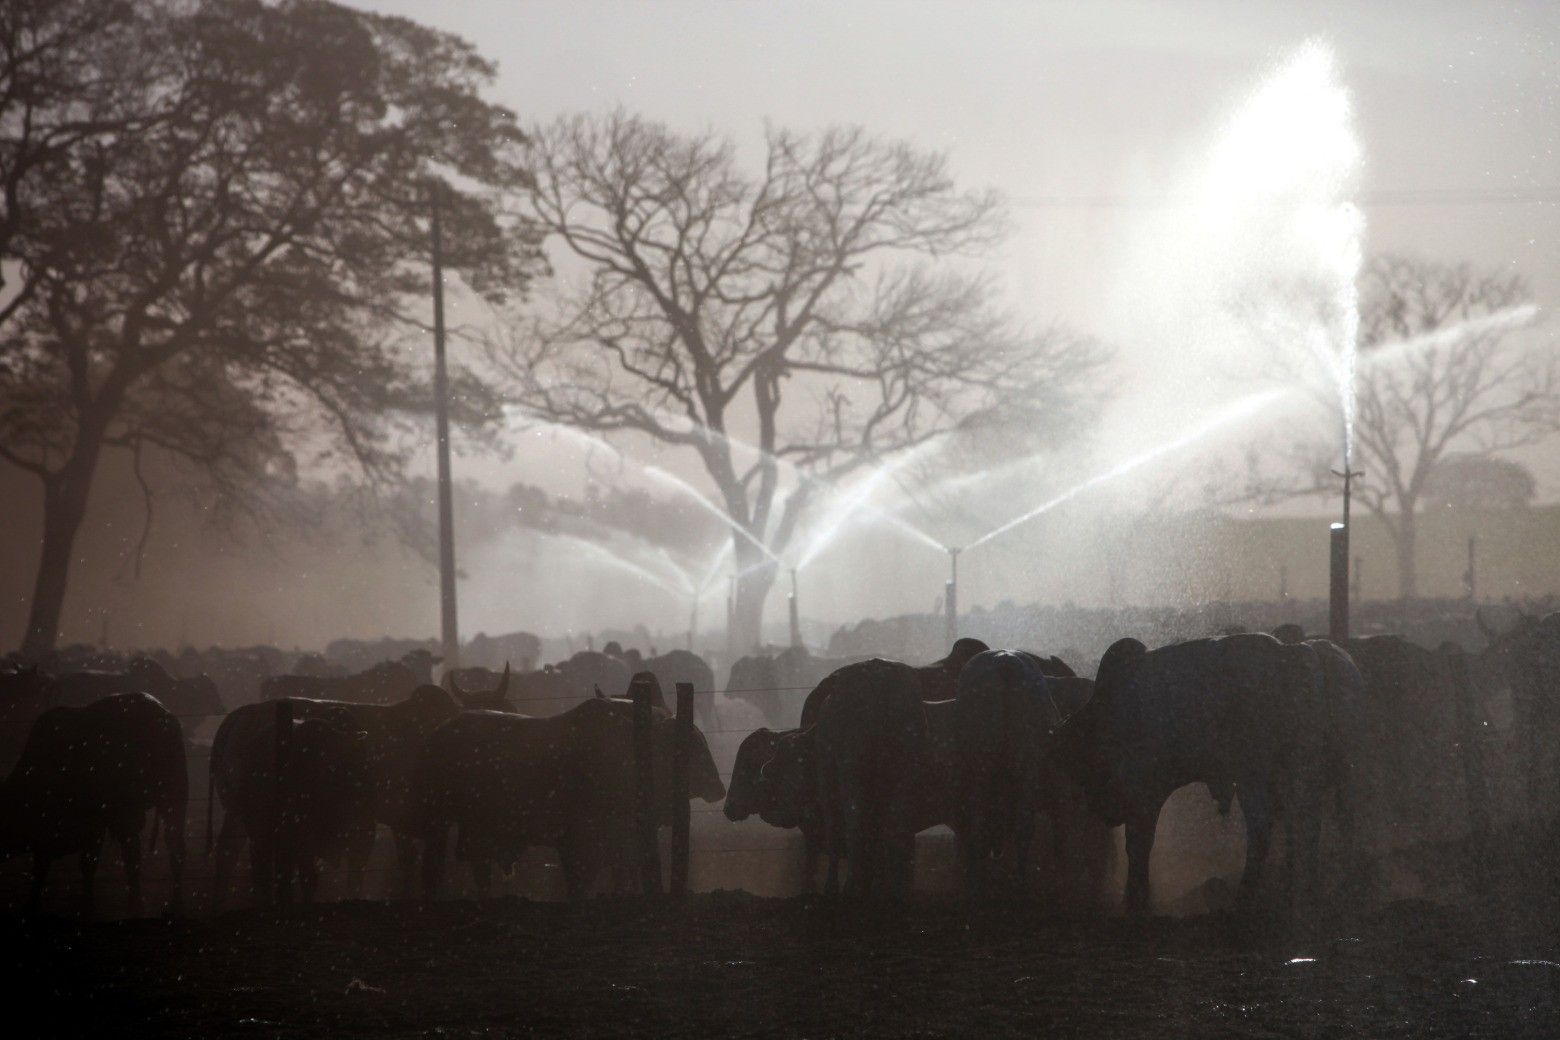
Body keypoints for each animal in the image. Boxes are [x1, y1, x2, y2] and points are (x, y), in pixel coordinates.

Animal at [0, 695, 186, 916]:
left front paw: (85, 905)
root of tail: (164, 715)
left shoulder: (91, 826)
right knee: (160, 850)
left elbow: (82, 864)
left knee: (161, 850)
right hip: (163, 804)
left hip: (163, 802)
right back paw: (152, 902)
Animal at [418, 698, 726, 904]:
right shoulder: (580, 840)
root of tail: (438, 732)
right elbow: (579, 882)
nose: (719, 787)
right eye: (691, 745)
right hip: (439, 821)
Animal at [1054, 629, 1360, 916]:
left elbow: (1139, 844)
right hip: (1332, 778)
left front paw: (1137, 903)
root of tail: (1307, 654)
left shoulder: (1143, 792)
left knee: (1283, 829)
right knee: (1329, 829)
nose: (1102, 811)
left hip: (1271, 777)